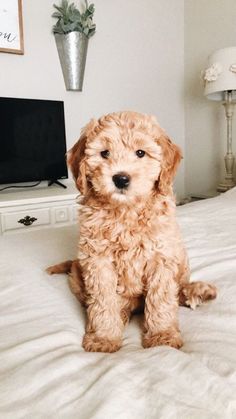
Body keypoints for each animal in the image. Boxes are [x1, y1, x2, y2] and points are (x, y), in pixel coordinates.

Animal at [47, 112, 218, 354]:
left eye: (140, 153)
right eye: (104, 153)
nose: (120, 178)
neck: (126, 211)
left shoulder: (161, 256)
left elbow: (161, 299)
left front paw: (162, 335)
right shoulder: (97, 260)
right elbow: (103, 301)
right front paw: (103, 337)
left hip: (181, 259)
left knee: (178, 290)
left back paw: (197, 292)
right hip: (79, 274)